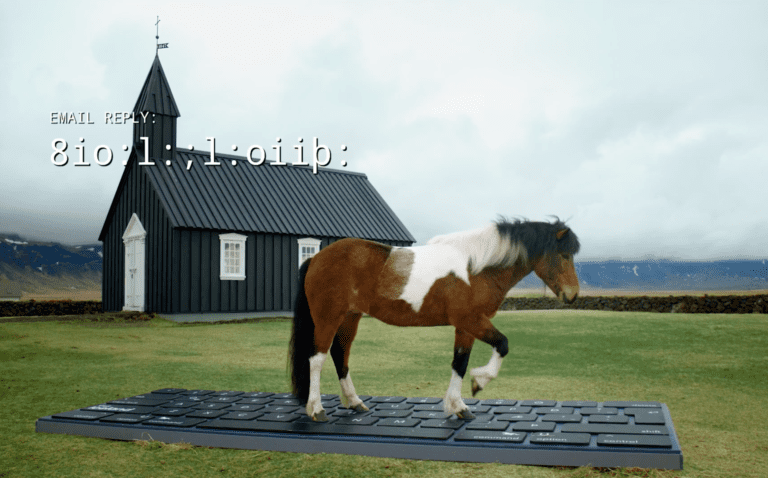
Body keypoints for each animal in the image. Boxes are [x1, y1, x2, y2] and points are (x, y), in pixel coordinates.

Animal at [289, 217, 580, 421]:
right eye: (563, 255)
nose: (573, 295)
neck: (475, 268)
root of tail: (316, 257)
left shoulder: (465, 327)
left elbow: (459, 363)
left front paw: (458, 406)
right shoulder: (472, 320)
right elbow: (503, 345)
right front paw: (479, 382)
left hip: (350, 318)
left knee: (340, 355)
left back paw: (355, 402)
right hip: (327, 318)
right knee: (317, 358)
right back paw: (316, 409)